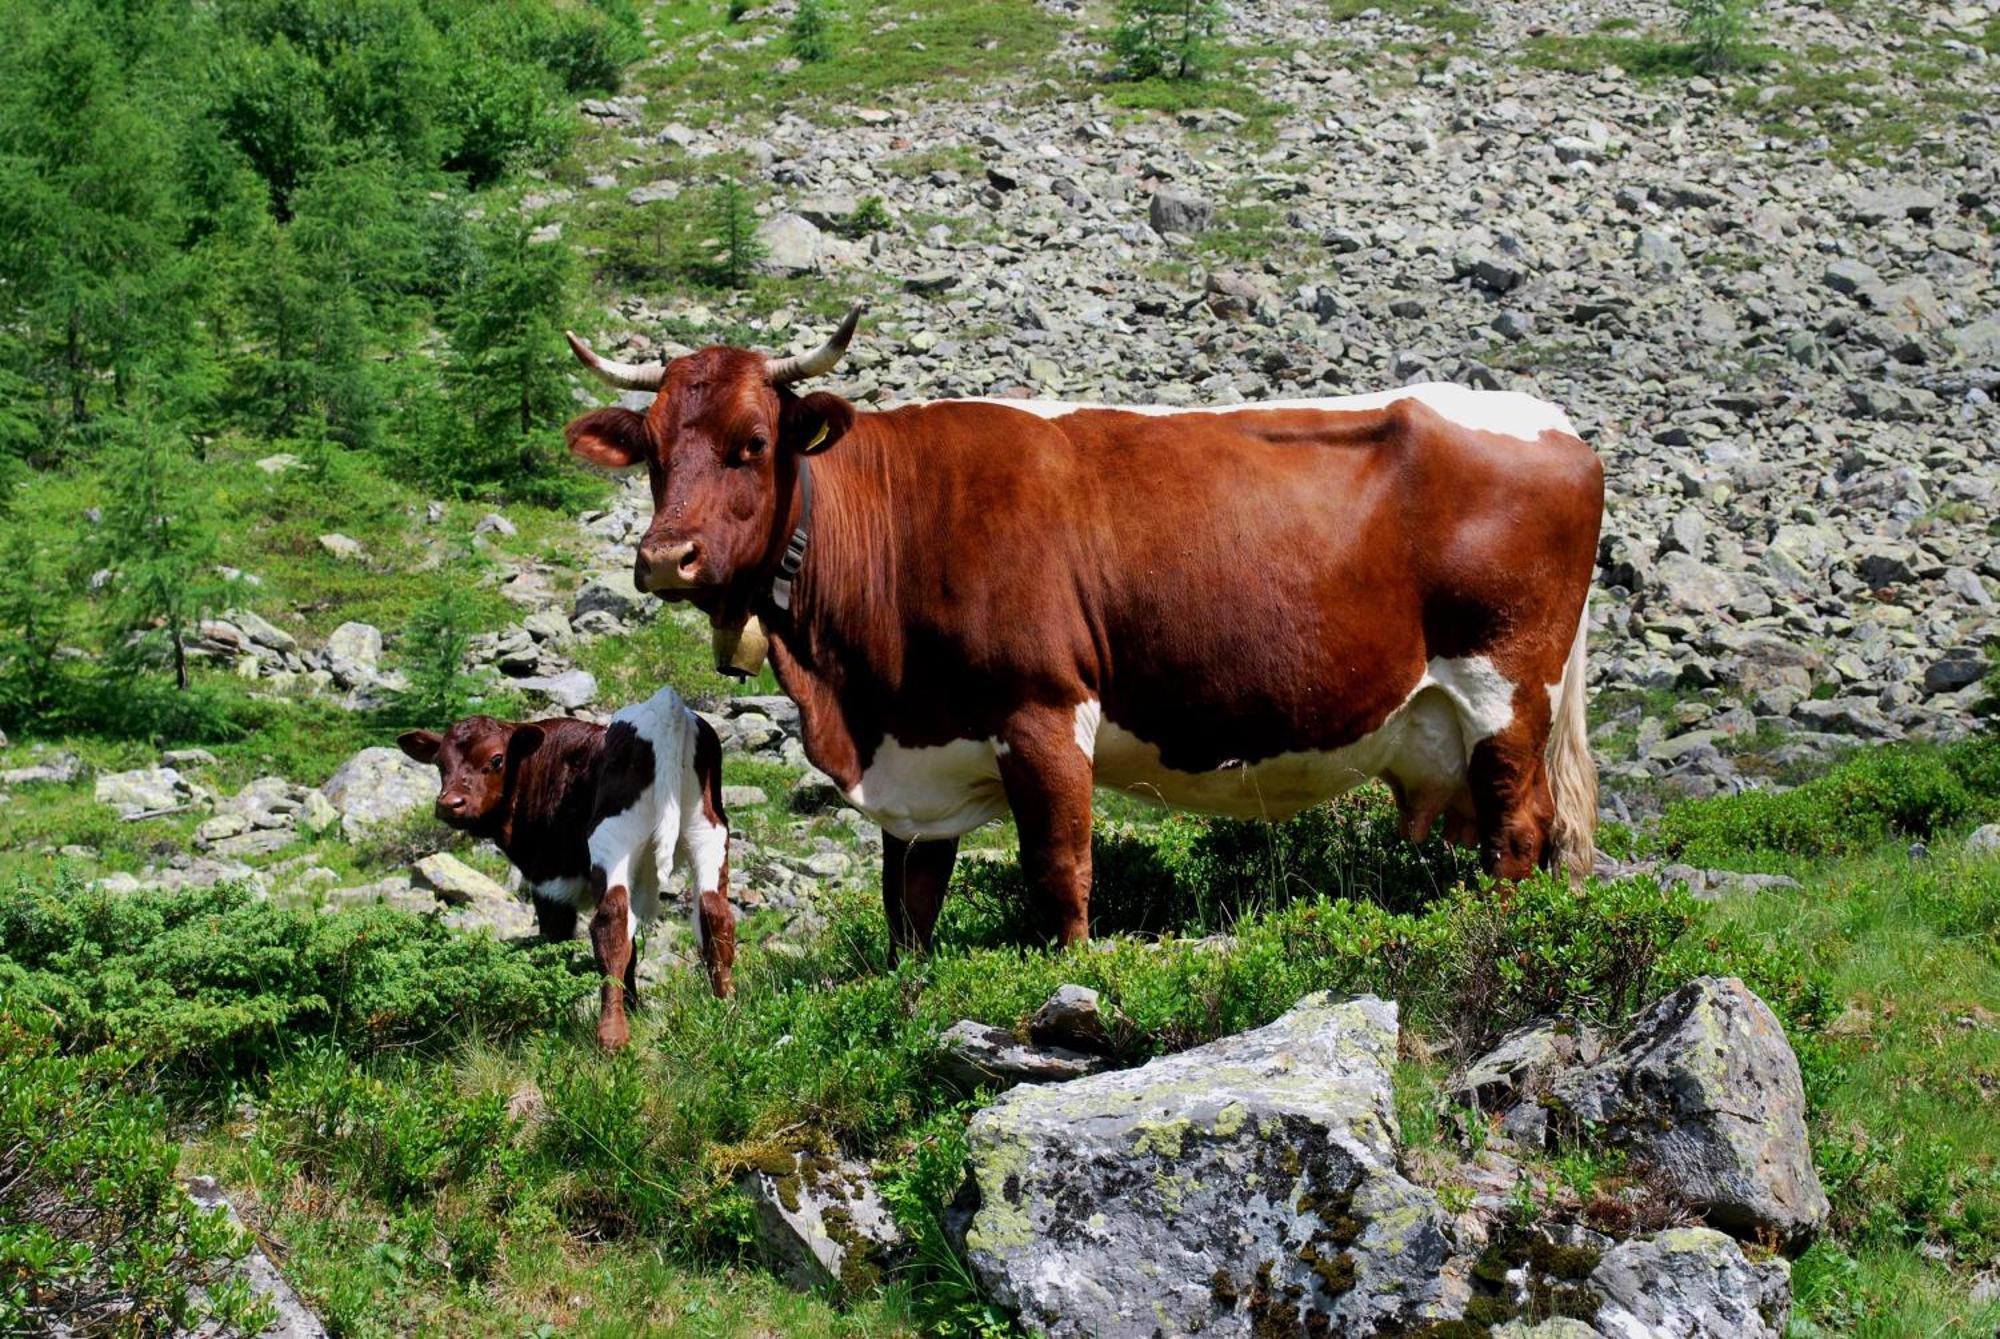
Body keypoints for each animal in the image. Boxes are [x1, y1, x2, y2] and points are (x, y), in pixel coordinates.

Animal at [398, 687, 736, 1055]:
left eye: (496, 760)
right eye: (440, 764)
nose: (450, 803)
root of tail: (665, 708)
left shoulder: (549, 881)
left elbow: (556, 944)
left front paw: (548, 1019)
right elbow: (632, 952)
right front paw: (634, 1008)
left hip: (613, 836)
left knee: (611, 923)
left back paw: (612, 1036)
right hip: (708, 832)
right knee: (714, 914)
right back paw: (725, 1006)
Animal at [560, 307, 1608, 955]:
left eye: (752, 444)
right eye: (653, 453)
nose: (665, 557)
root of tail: (1555, 423)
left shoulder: (1044, 711)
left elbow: (1060, 871)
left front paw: (1072, 972)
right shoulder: (922, 755)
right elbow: (909, 906)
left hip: (1504, 689)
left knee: (1522, 827)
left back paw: (1501, 929)